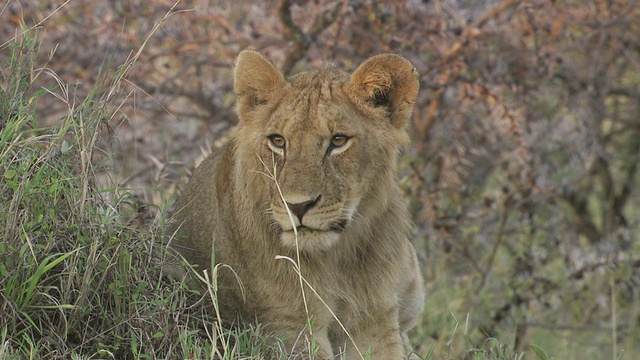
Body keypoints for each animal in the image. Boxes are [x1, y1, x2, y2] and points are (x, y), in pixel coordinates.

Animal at [166, 50, 424, 360]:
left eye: (338, 140)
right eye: (278, 141)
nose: (298, 206)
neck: (335, 259)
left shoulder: (375, 321)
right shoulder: (286, 324)